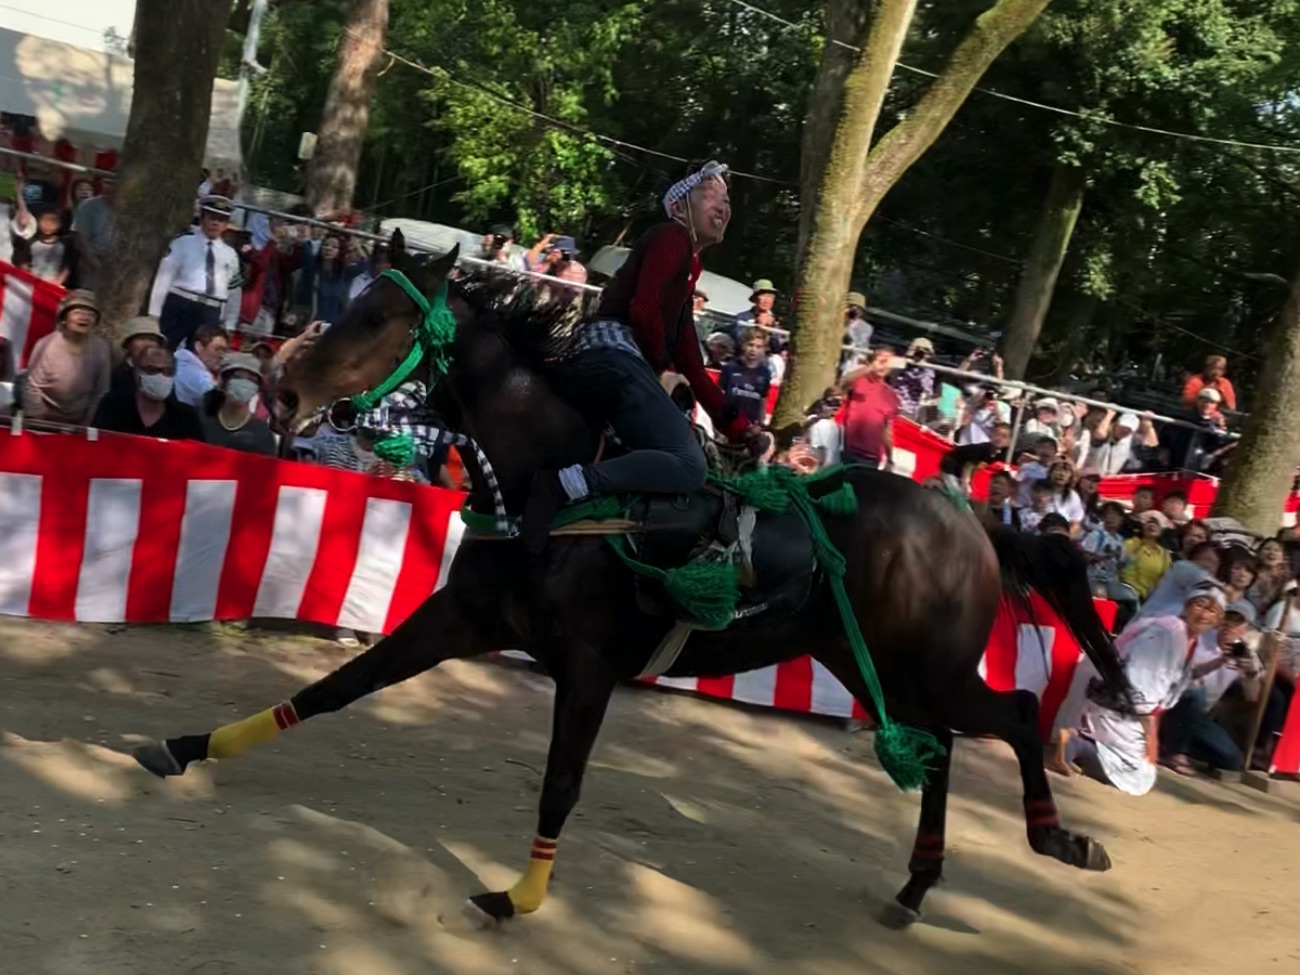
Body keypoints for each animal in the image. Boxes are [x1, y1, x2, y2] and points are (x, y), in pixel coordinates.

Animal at [129, 235, 1128, 930]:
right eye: (353, 299)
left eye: (380, 318)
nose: (285, 391)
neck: (560, 485)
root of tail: (968, 514)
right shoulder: (465, 616)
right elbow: (335, 687)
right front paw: (189, 743)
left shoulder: (589, 663)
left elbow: (561, 782)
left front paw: (519, 893)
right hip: (867, 660)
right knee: (948, 746)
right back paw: (918, 883)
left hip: (926, 664)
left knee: (1016, 715)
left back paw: (1060, 838)